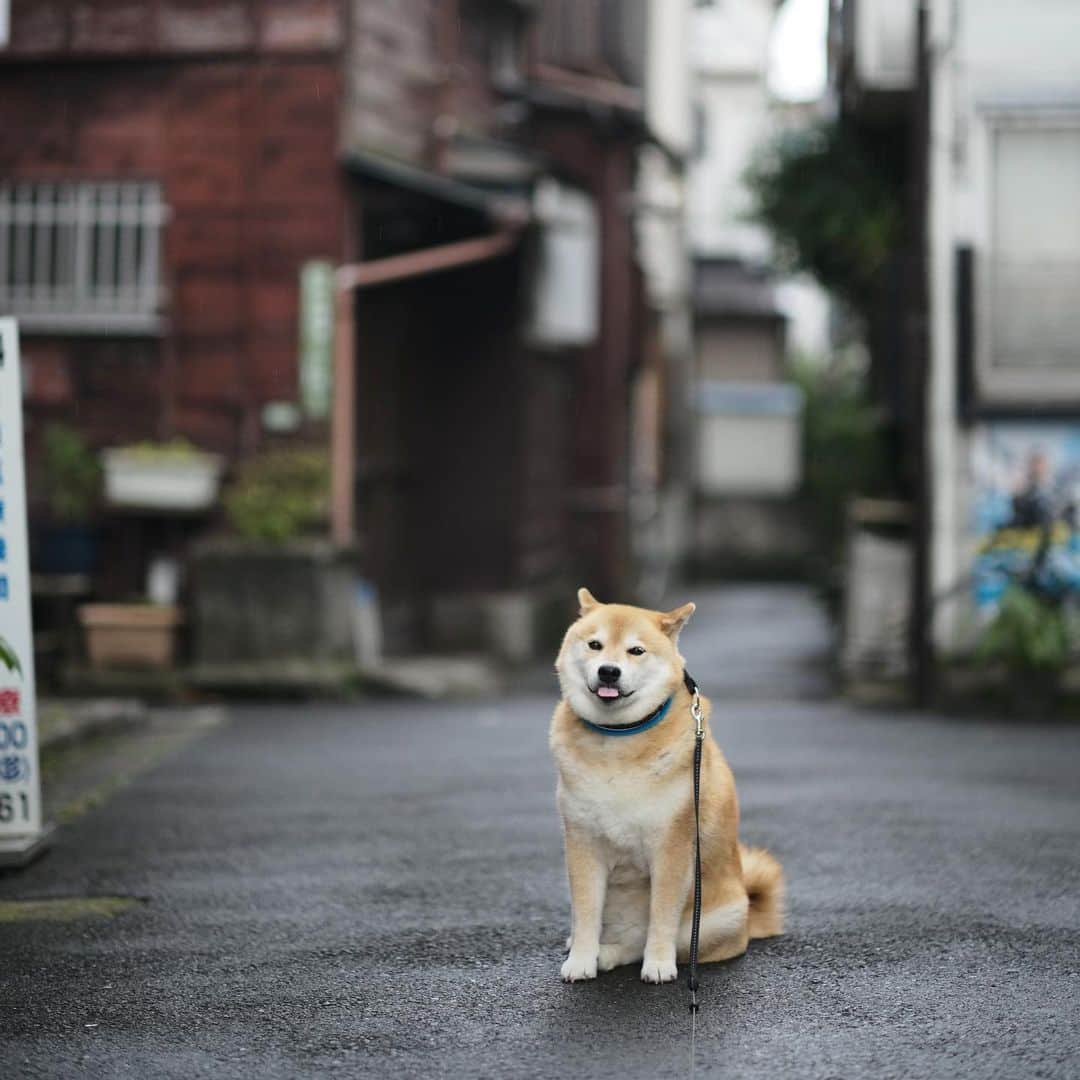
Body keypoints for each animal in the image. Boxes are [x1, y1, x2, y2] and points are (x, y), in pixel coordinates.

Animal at [552, 587, 781, 984]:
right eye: (595, 644)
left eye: (636, 650)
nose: (608, 670)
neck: (618, 738)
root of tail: (749, 920)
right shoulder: (583, 843)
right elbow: (585, 912)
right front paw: (580, 960)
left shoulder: (671, 847)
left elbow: (661, 916)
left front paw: (657, 965)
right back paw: (599, 952)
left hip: (710, 921)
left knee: (650, 943)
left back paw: (615, 955)